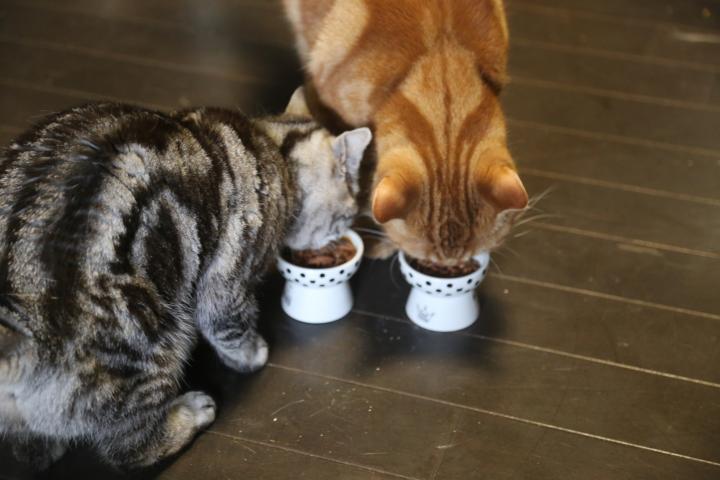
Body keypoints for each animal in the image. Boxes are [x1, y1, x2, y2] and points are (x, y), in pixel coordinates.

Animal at [0, 97, 372, 469]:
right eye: (347, 214)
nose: (342, 233)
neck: (271, 144)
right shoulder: (226, 282)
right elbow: (230, 328)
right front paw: (252, 355)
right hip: (156, 341)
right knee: (131, 449)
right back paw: (190, 414)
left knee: (30, 444)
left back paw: (43, 448)